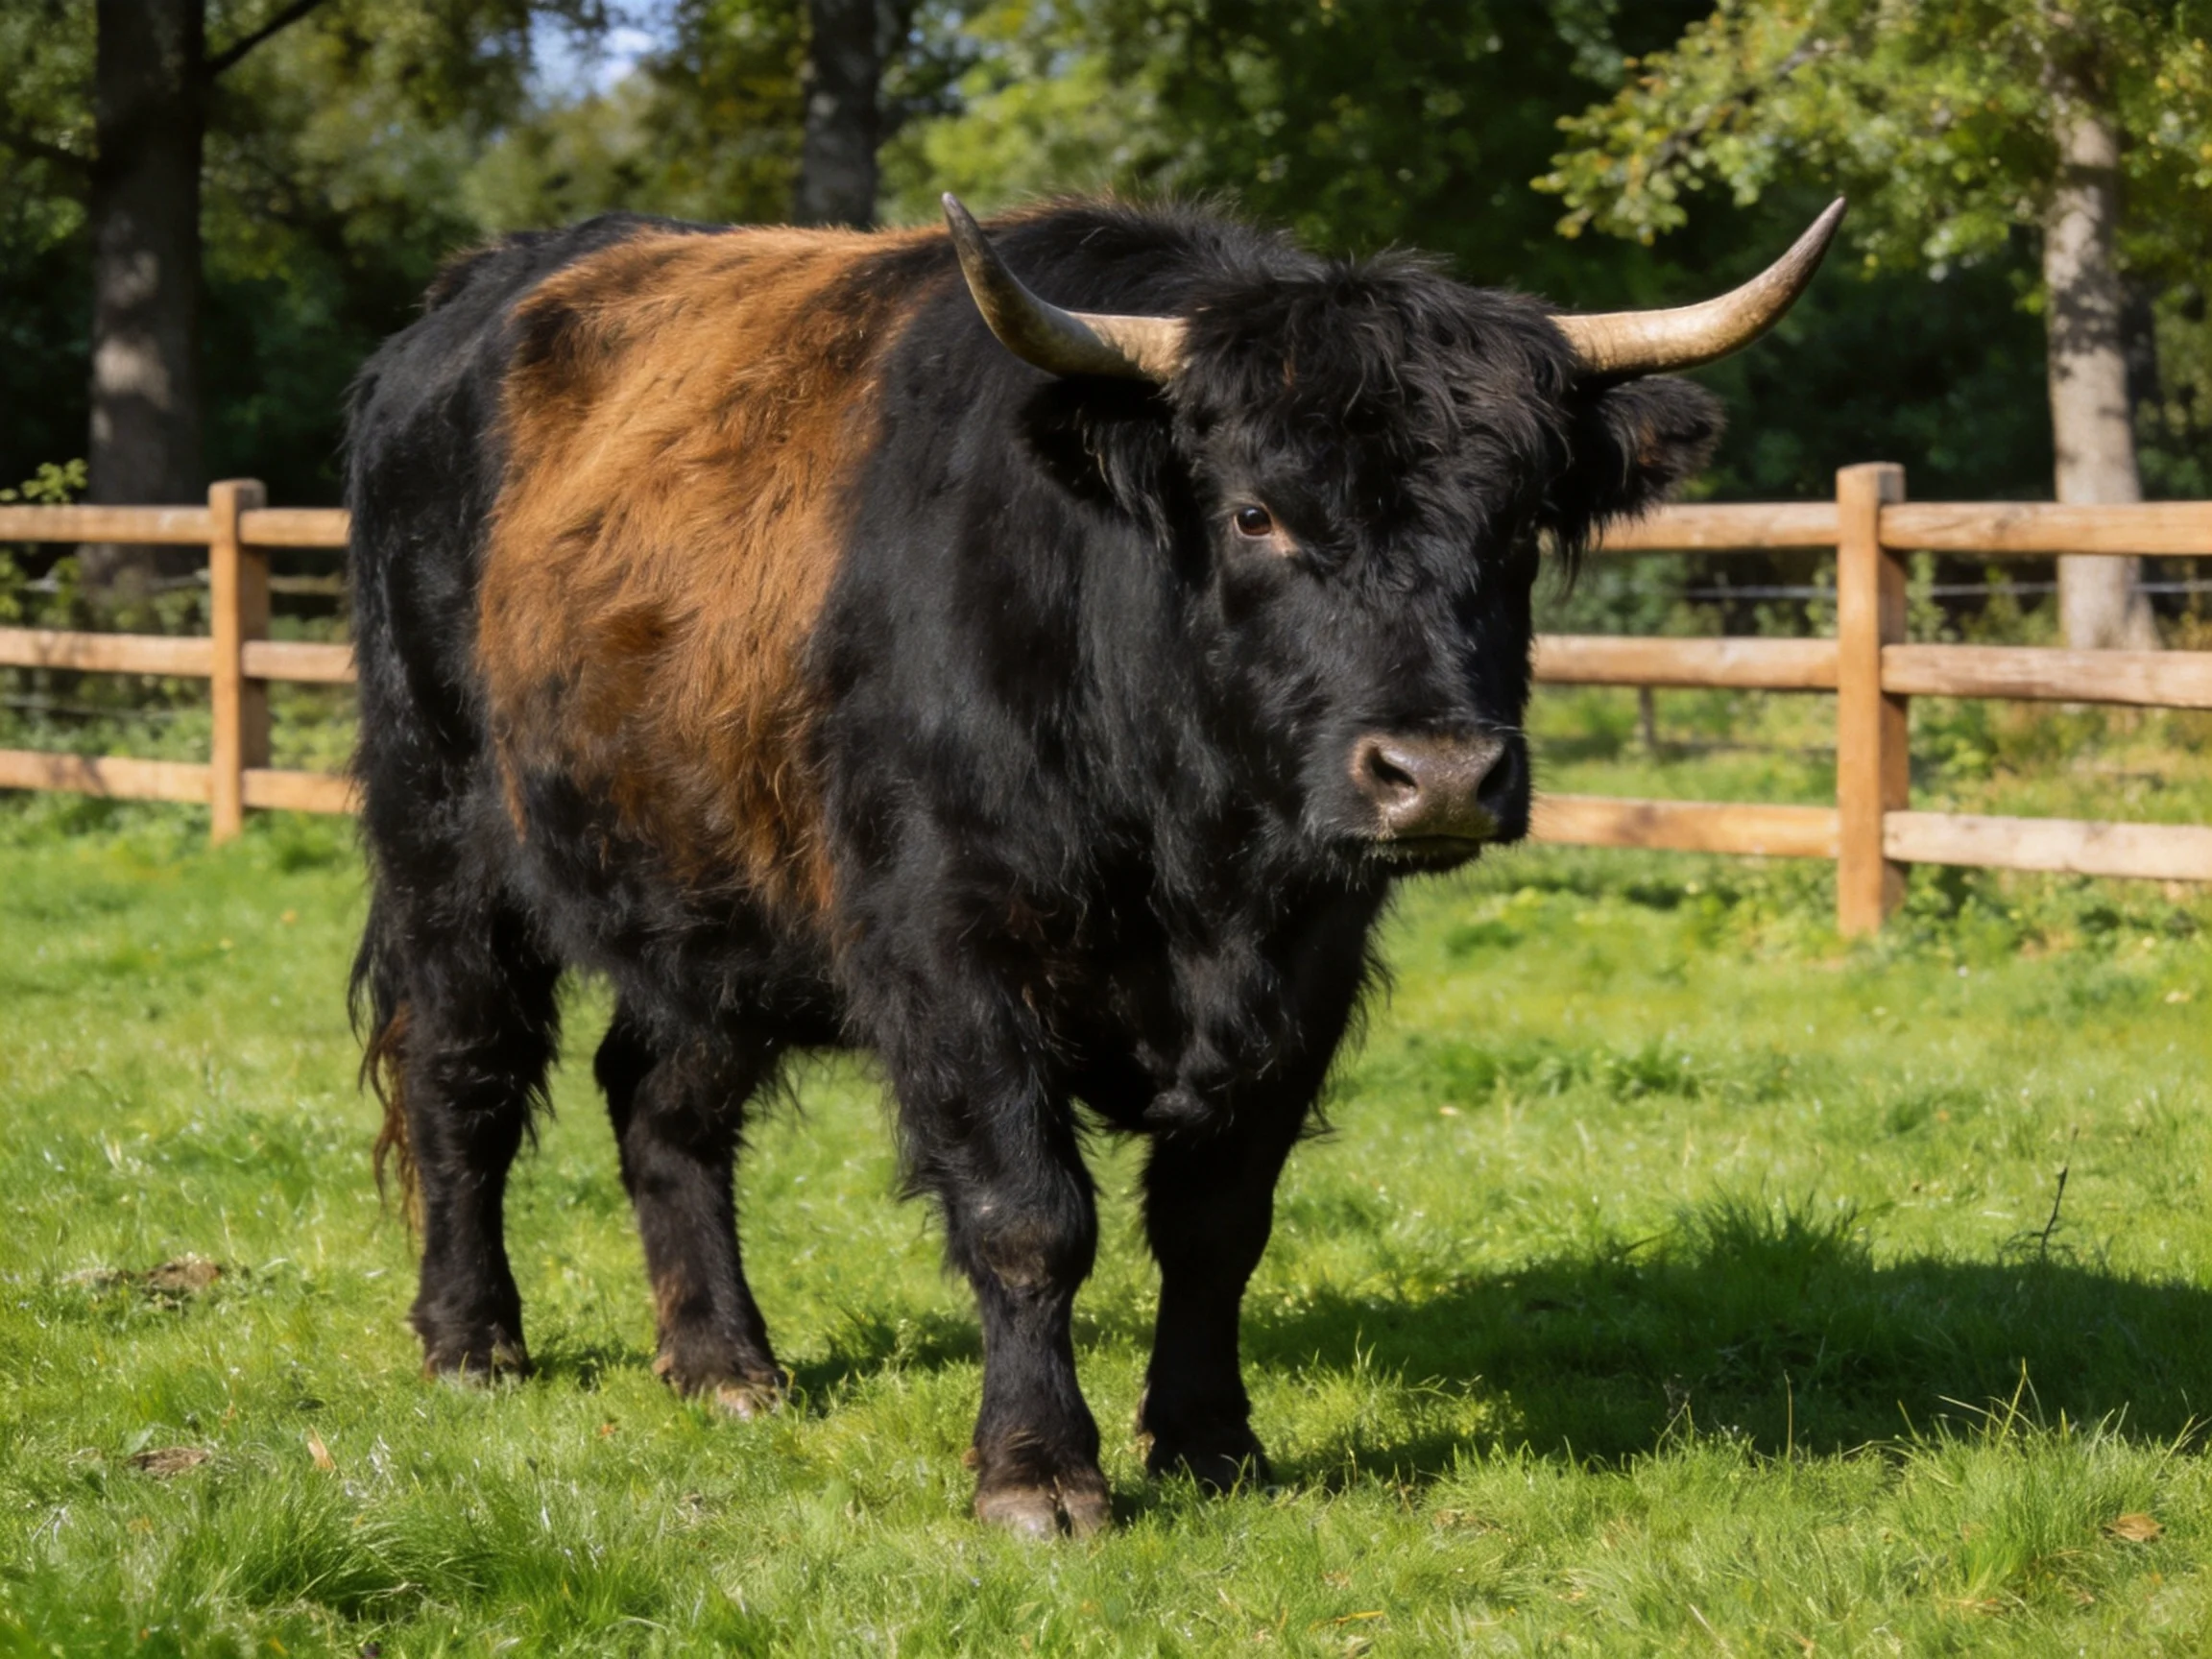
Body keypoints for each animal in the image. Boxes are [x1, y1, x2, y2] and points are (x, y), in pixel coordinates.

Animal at [346, 191, 1841, 1537]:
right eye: (1253, 516)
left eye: (1522, 519)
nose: (1439, 775)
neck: (1191, 848)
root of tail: (466, 306)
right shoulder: (948, 949)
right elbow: (1028, 1216)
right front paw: (1037, 1474)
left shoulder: (1306, 970)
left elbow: (1218, 1219)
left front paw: (1210, 1439)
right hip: (443, 836)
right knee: (464, 1079)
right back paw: (472, 1341)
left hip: (716, 897)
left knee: (661, 1103)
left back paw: (723, 1362)